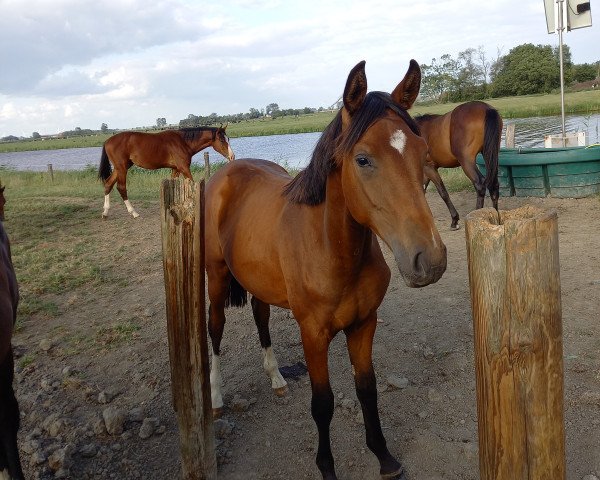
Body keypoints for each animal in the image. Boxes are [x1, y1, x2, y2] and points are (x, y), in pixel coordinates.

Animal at [96, 125, 234, 219]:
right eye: (222, 140)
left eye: (228, 139)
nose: (232, 157)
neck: (183, 142)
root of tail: (107, 141)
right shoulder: (184, 168)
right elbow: (192, 184)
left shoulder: (176, 169)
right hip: (122, 168)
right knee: (121, 187)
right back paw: (133, 212)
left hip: (120, 168)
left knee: (108, 184)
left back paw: (105, 212)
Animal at [205, 61, 446, 480]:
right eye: (362, 159)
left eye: (423, 151)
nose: (429, 260)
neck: (334, 251)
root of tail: (228, 172)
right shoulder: (313, 334)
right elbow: (323, 403)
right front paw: (327, 467)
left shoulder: (364, 323)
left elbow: (367, 388)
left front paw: (384, 456)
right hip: (217, 278)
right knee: (215, 326)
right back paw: (217, 397)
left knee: (261, 318)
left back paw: (277, 379)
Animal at [412, 100, 502, 230]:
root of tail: (486, 108)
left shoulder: (428, 167)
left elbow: (443, 193)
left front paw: (454, 220)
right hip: (490, 154)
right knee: (494, 185)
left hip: (466, 161)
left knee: (480, 184)